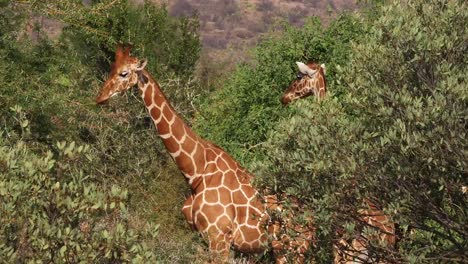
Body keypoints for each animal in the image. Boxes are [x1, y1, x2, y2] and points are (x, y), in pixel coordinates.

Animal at [95, 46, 314, 262]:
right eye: (111, 69)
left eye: (124, 73)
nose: (100, 97)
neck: (196, 172)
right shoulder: (202, 236)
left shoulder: (218, 237)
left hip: (293, 247)